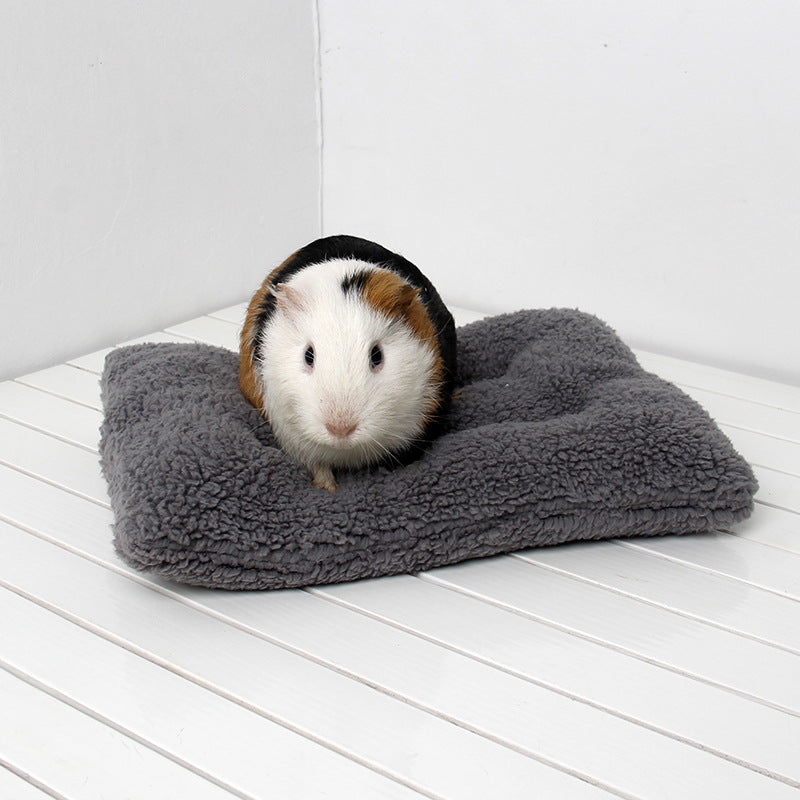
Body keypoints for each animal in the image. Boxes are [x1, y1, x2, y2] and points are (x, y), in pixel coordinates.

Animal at [239, 235, 457, 491]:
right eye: (308, 355)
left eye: (377, 355)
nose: (340, 429)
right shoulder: (293, 438)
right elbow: (318, 466)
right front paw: (328, 488)